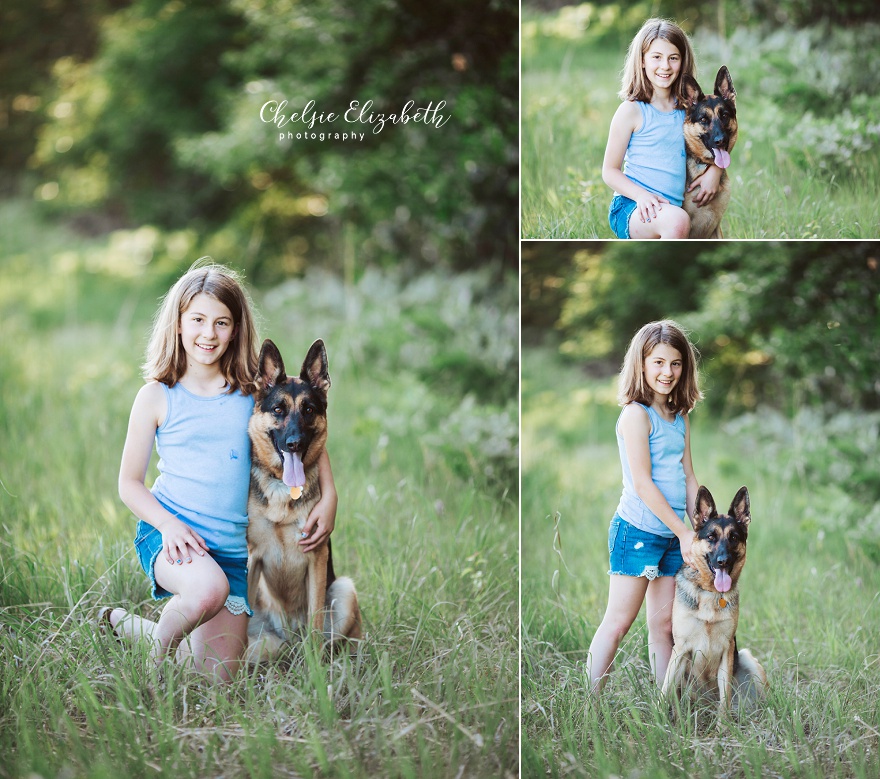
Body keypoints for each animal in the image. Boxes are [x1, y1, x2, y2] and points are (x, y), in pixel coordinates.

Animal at [244, 338, 360, 660]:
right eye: (278, 409)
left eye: (308, 409)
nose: (294, 443)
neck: (283, 489)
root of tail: (289, 638)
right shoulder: (250, 559)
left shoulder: (316, 559)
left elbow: (316, 622)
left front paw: (316, 668)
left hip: (344, 590)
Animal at [664, 488, 768, 712]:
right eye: (711, 537)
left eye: (734, 537)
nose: (723, 561)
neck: (710, 593)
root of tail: (706, 704)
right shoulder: (680, 649)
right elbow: (664, 690)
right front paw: (658, 715)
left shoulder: (727, 649)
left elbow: (724, 698)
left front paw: (723, 722)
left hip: (747, 659)